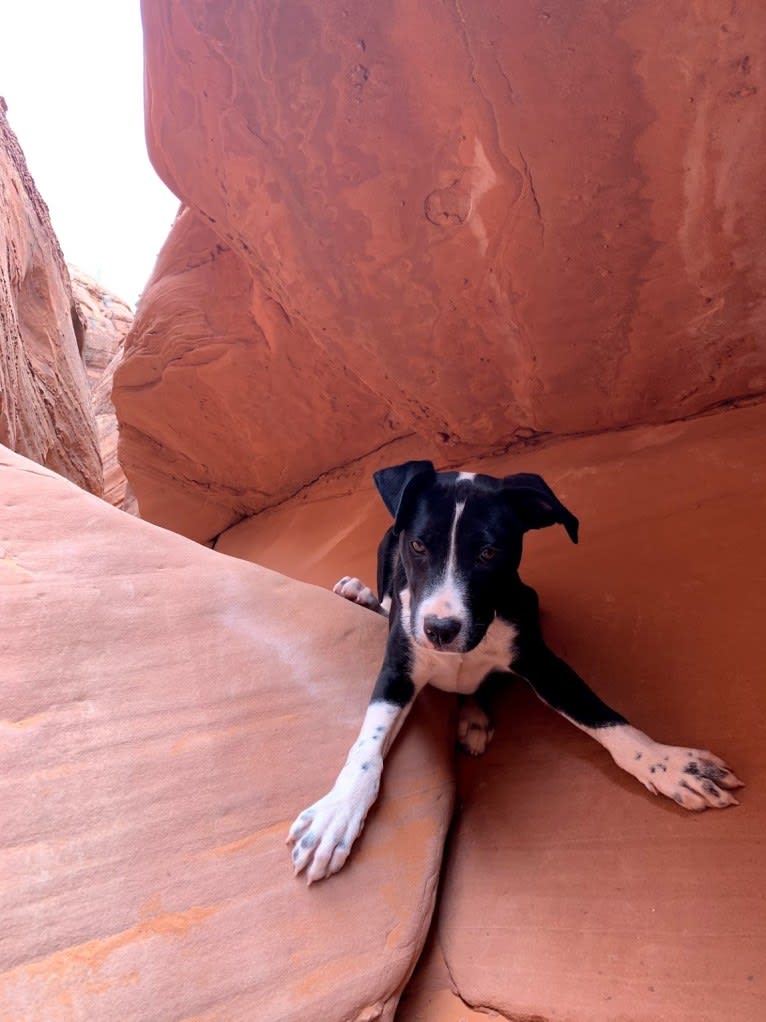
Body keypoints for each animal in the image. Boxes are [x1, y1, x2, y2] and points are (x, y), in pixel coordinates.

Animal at [288, 459, 743, 883]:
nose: (440, 630)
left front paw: (667, 764)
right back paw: (360, 594)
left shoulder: (539, 660)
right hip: (386, 546)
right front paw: (337, 813)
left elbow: (603, 717)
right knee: (384, 601)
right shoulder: (398, 670)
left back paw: (472, 714)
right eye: (417, 545)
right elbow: (366, 750)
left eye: (489, 553)